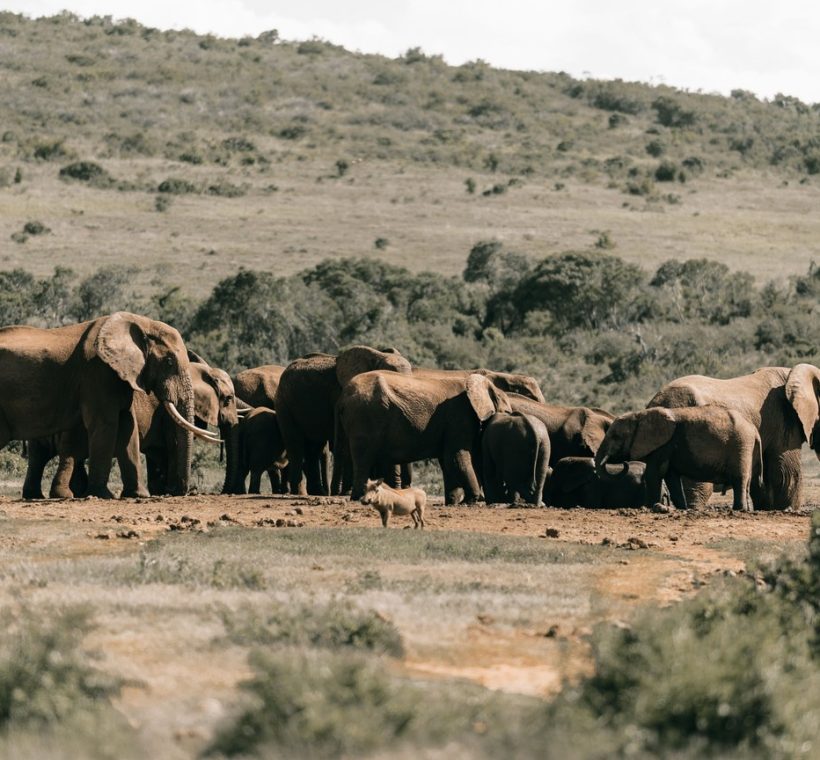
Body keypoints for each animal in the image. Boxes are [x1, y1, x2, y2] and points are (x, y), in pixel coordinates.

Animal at [0, 312, 198, 498]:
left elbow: (127, 425)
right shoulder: (97, 372)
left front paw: (138, 495)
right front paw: (102, 495)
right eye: (169, 362)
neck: (141, 322)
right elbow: (106, 424)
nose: (176, 491)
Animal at [275, 346, 412, 496]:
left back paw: (318, 492)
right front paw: (348, 491)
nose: (405, 487)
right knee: (295, 446)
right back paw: (301, 493)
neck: (378, 356)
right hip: (284, 404)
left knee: (314, 448)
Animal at [336, 371, 512, 504]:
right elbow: (455, 457)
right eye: (508, 412)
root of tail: (343, 396)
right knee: (363, 457)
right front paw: (471, 501)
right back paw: (359, 498)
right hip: (365, 416)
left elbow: (447, 461)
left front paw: (453, 502)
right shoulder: (460, 417)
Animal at [595, 406, 763, 512]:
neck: (639, 415)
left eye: (615, 437)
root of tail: (754, 430)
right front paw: (683, 508)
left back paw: (738, 510)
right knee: (746, 482)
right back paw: (746, 510)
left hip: (741, 444)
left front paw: (649, 507)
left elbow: (654, 474)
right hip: (746, 446)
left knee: (739, 479)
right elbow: (671, 477)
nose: (624, 463)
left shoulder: (662, 446)